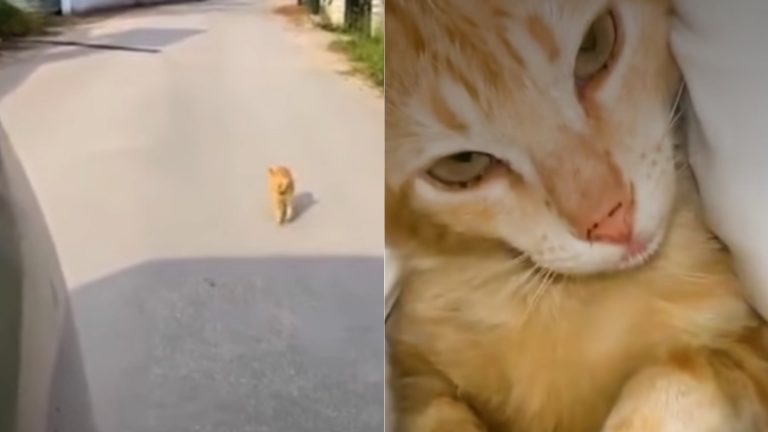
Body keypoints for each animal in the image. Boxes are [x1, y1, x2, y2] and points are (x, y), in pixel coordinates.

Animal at [388, 0, 768, 432]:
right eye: (463, 163)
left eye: (593, 45)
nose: (613, 222)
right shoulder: (416, 372)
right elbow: (439, 411)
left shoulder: (749, 348)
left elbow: (674, 375)